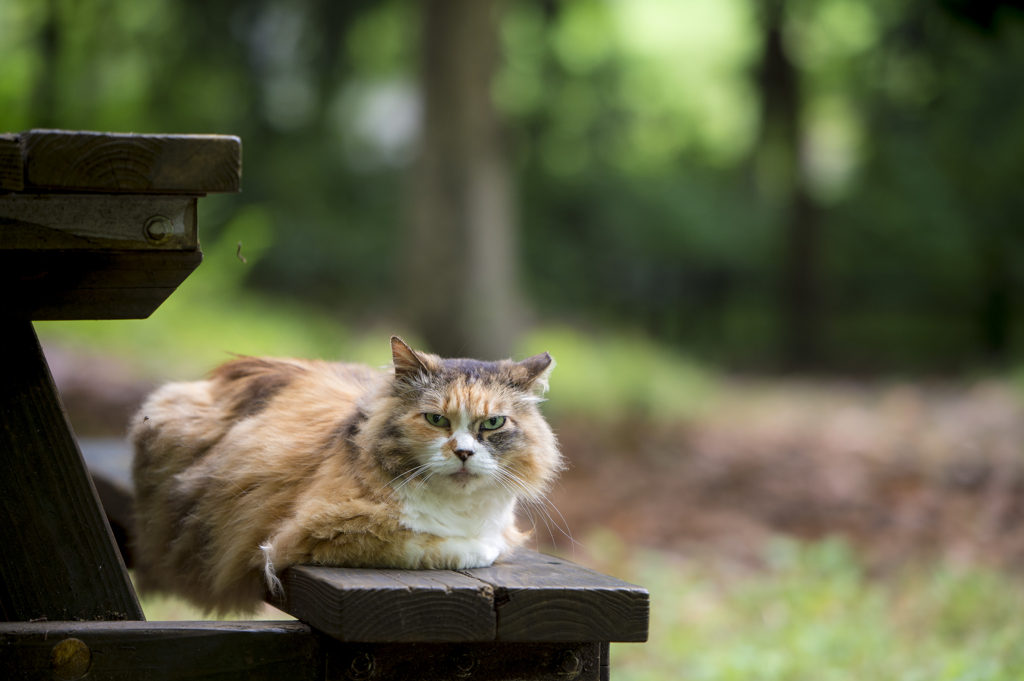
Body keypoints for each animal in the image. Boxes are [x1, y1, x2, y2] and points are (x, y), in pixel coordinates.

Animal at [130, 337, 561, 614]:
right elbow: (445, 546)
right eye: (437, 420)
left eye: (493, 423)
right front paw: (477, 547)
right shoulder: (320, 530)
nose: (464, 453)